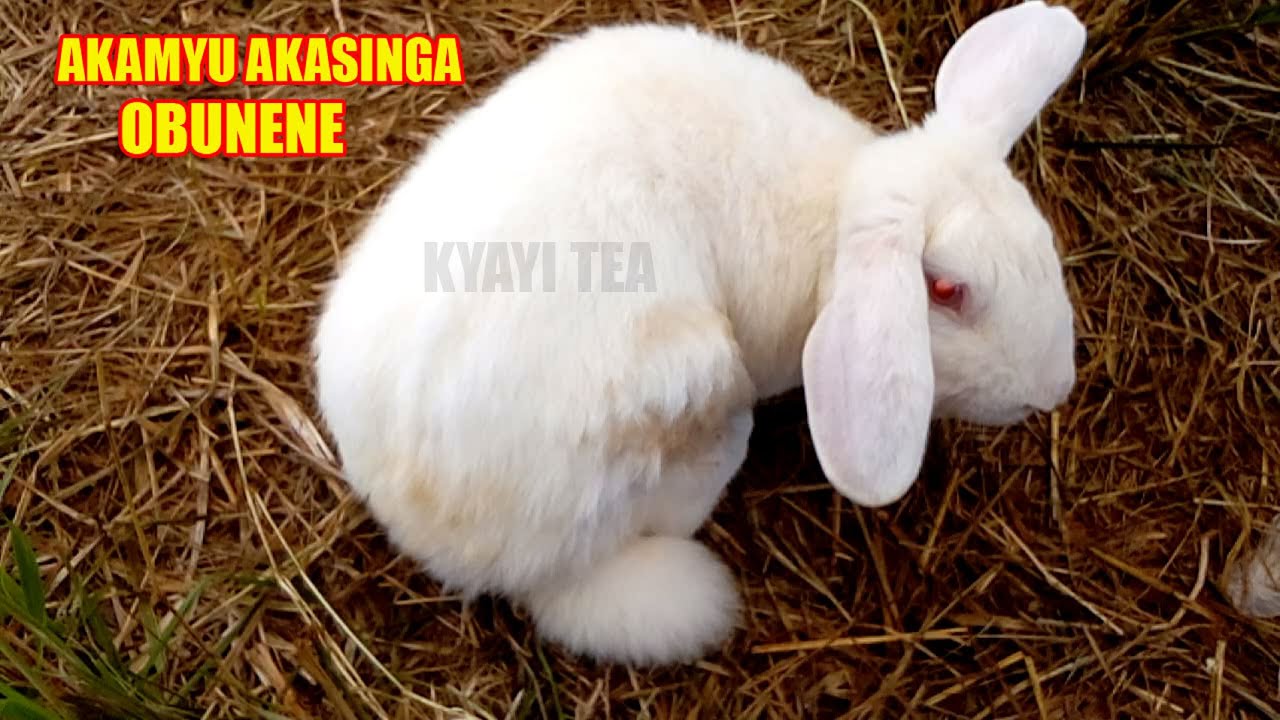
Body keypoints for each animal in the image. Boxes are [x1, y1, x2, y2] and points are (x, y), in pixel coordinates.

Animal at [313, 1, 1087, 666]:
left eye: (1042, 241)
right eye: (948, 290)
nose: (1052, 392)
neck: (830, 207)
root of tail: (453, 549)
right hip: (696, 384)